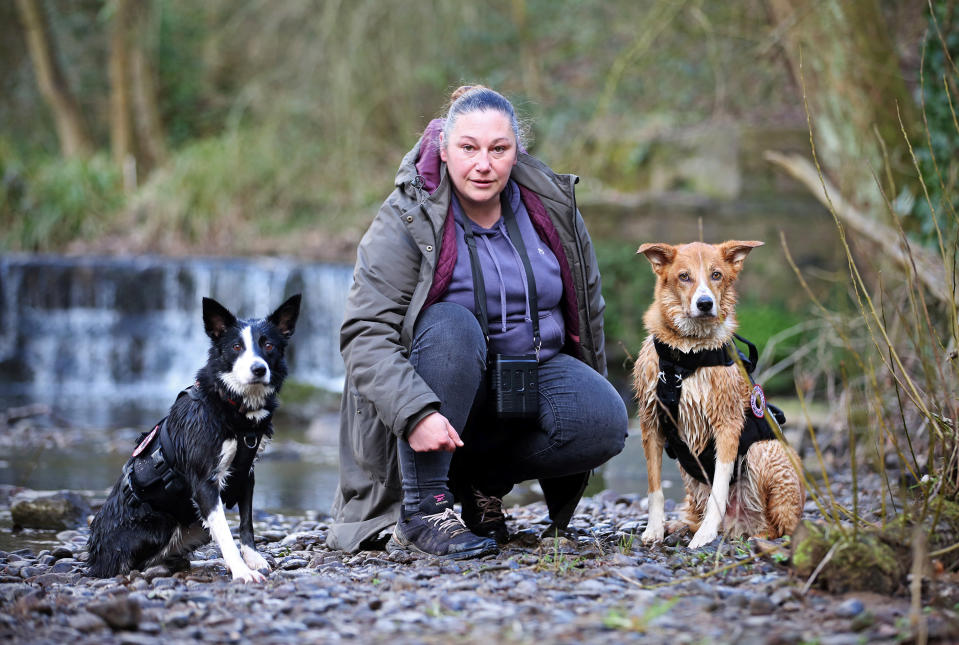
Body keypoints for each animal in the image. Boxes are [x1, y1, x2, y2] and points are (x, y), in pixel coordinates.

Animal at [636, 242, 804, 548]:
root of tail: (738, 526)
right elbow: (655, 487)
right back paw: (682, 525)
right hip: (689, 476)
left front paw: (705, 534)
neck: (686, 355)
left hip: (765, 452)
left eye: (716, 275)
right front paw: (654, 529)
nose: (705, 303)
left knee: (778, 527)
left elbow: (720, 485)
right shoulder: (651, 421)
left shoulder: (727, 424)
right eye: (684, 276)